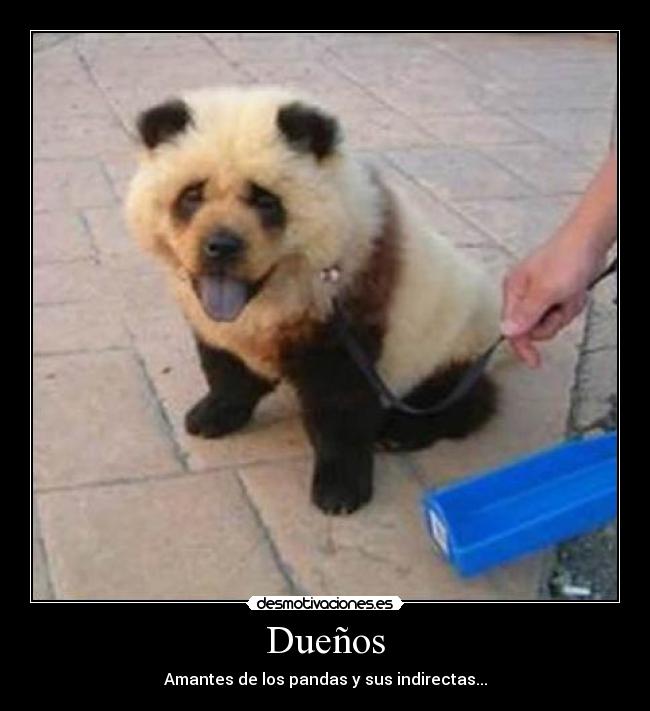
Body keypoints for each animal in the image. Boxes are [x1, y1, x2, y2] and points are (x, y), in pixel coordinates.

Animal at [125, 86, 501, 515]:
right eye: (192, 195)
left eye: (265, 200)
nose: (221, 246)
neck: (267, 299)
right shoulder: (218, 325)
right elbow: (225, 366)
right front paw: (214, 413)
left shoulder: (345, 310)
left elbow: (339, 404)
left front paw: (340, 488)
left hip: (451, 342)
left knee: (461, 399)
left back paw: (403, 430)